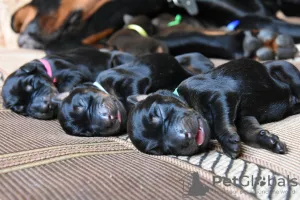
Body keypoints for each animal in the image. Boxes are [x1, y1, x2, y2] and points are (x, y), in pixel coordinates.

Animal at [128, 58, 300, 159]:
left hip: (284, 67)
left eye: (159, 113)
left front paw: (227, 141)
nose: (182, 140)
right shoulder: (244, 116)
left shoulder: (220, 94)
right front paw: (268, 140)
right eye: (158, 149)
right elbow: (249, 130)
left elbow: (220, 122)